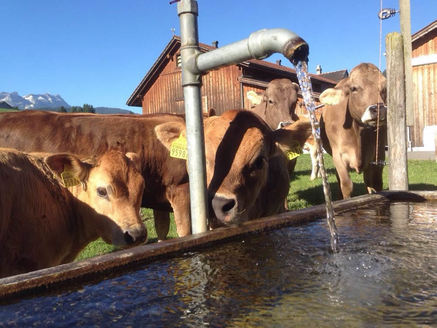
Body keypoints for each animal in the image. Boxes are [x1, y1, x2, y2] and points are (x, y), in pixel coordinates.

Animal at [316, 62, 384, 199]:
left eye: (385, 87)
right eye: (353, 88)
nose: (379, 110)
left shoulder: (378, 156)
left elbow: (376, 183)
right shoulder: (338, 155)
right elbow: (347, 185)